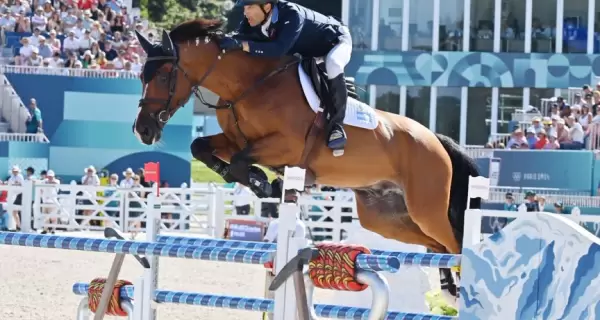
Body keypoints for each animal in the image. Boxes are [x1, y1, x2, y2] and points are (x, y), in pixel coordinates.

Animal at [134, 18, 480, 304]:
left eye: (163, 76)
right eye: (141, 76)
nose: (143, 130)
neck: (249, 86)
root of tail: (435, 139)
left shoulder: (286, 147)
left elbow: (241, 161)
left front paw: (265, 184)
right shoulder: (234, 141)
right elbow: (202, 148)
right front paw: (256, 180)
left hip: (426, 208)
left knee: (453, 243)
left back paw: (462, 288)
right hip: (386, 217)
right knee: (437, 246)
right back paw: (449, 290)